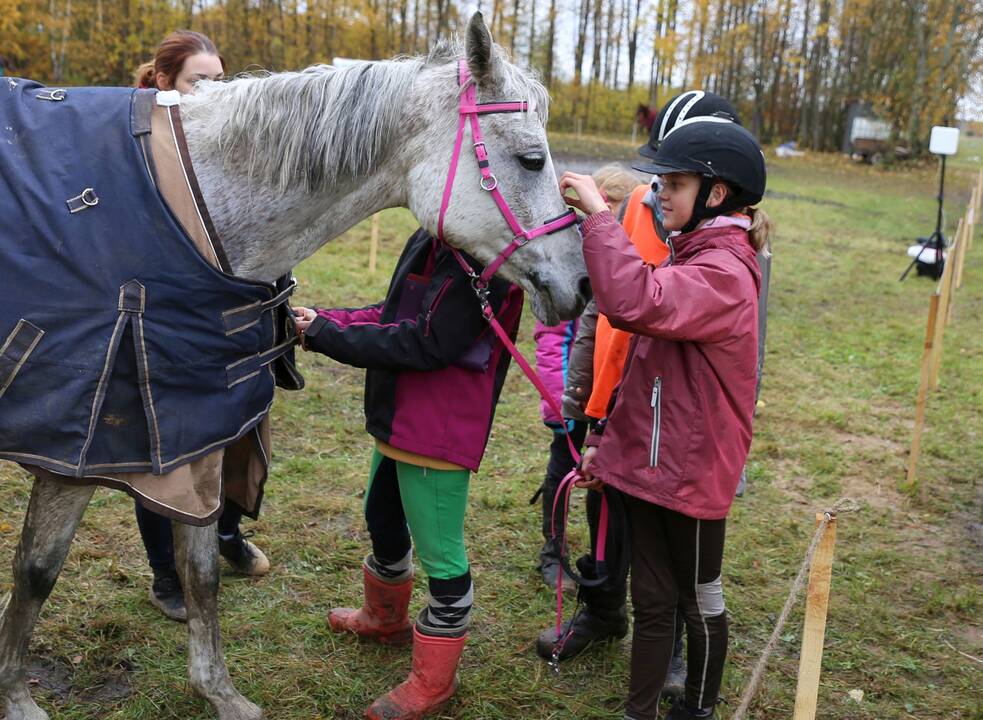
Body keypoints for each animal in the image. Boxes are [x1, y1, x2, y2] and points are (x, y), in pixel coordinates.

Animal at [0, 12, 588, 720]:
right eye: (531, 158)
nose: (583, 284)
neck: (191, 214)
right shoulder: (73, 449)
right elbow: (37, 569)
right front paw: (15, 696)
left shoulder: (193, 436)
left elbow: (200, 574)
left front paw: (220, 693)